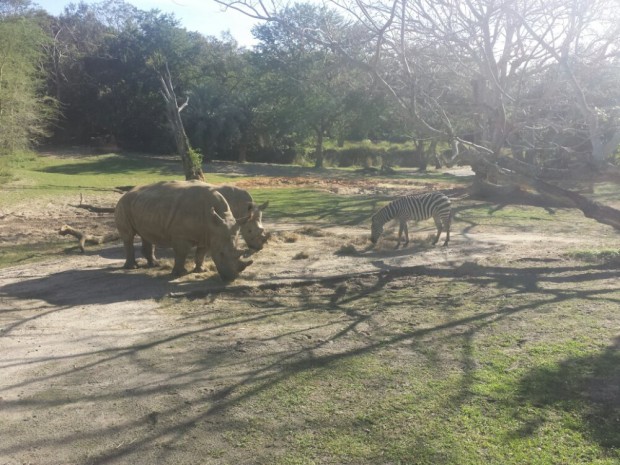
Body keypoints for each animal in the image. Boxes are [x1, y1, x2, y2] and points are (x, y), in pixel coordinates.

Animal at [114, 180, 252, 282]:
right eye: (221, 254)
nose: (231, 278)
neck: (215, 221)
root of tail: (126, 192)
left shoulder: (208, 235)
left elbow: (201, 253)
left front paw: (201, 270)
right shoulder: (181, 235)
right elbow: (182, 253)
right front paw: (180, 273)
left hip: (144, 205)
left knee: (146, 234)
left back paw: (154, 264)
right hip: (123, 204)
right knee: (128, 236)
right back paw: (132, 267)